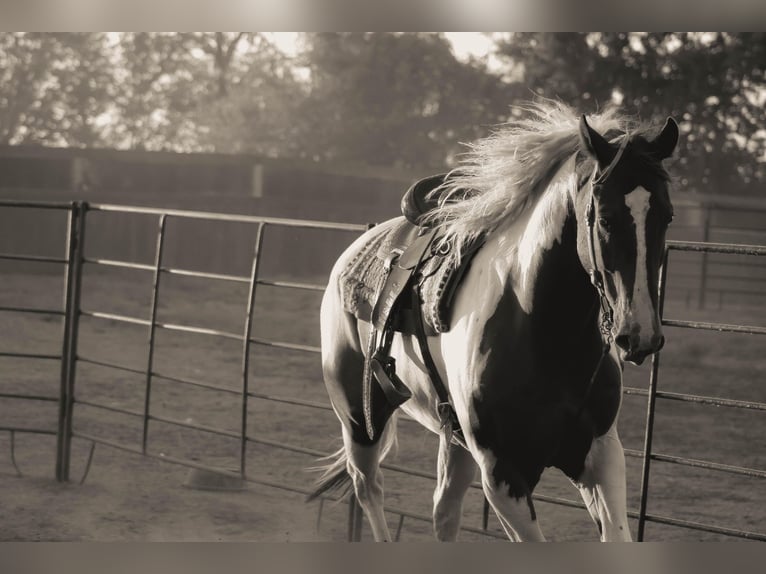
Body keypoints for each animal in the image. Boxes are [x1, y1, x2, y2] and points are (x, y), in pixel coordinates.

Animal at [308, 101, 680, 544]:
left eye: (667, 216)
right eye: (604, 217)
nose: (640, 335)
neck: (546, 336)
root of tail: (356, 251)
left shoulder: (600, 455)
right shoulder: (503, 476)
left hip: (454, 439)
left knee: (443, 511)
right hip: (359, 417)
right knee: (369, 487)